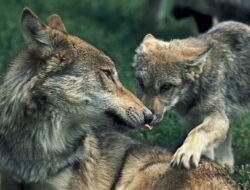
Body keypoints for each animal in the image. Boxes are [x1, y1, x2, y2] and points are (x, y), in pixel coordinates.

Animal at [133, 21, 250, 171]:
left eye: (166, 86)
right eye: (141, 82)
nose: (146, 119)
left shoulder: (218, 116)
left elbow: (197, 132)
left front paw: (185, 152)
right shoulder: (193, 120)